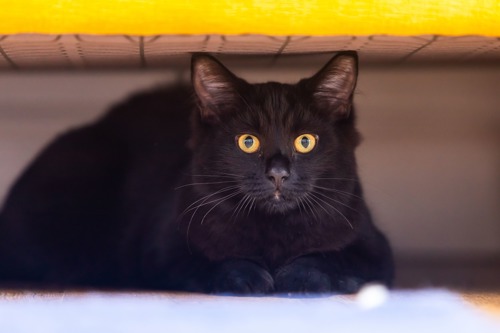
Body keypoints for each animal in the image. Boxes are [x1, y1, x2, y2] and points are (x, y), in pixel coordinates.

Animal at [0, 52, 394, 294]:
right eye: (247, 142)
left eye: (306, 141)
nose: (278, 173)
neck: (272, 231)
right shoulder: (163, 246)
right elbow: (205, 262)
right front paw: (247, 276)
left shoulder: (375, 249)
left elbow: (333, 259)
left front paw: (298, 274)